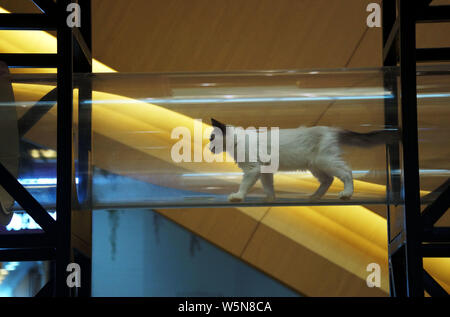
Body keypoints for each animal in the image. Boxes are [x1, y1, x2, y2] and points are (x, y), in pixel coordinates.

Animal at [208, 117, 398, 201]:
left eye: (211, 138)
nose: (209, 148)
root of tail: (331, 129)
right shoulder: (265, 171)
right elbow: (269, 187)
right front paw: (271, 199)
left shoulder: (252, 169)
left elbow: (244, 185)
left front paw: (238, 196)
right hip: (315, 166)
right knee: (328, 180)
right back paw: (314, 196)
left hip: (325, 161)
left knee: (346, 172)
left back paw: (346, 193)